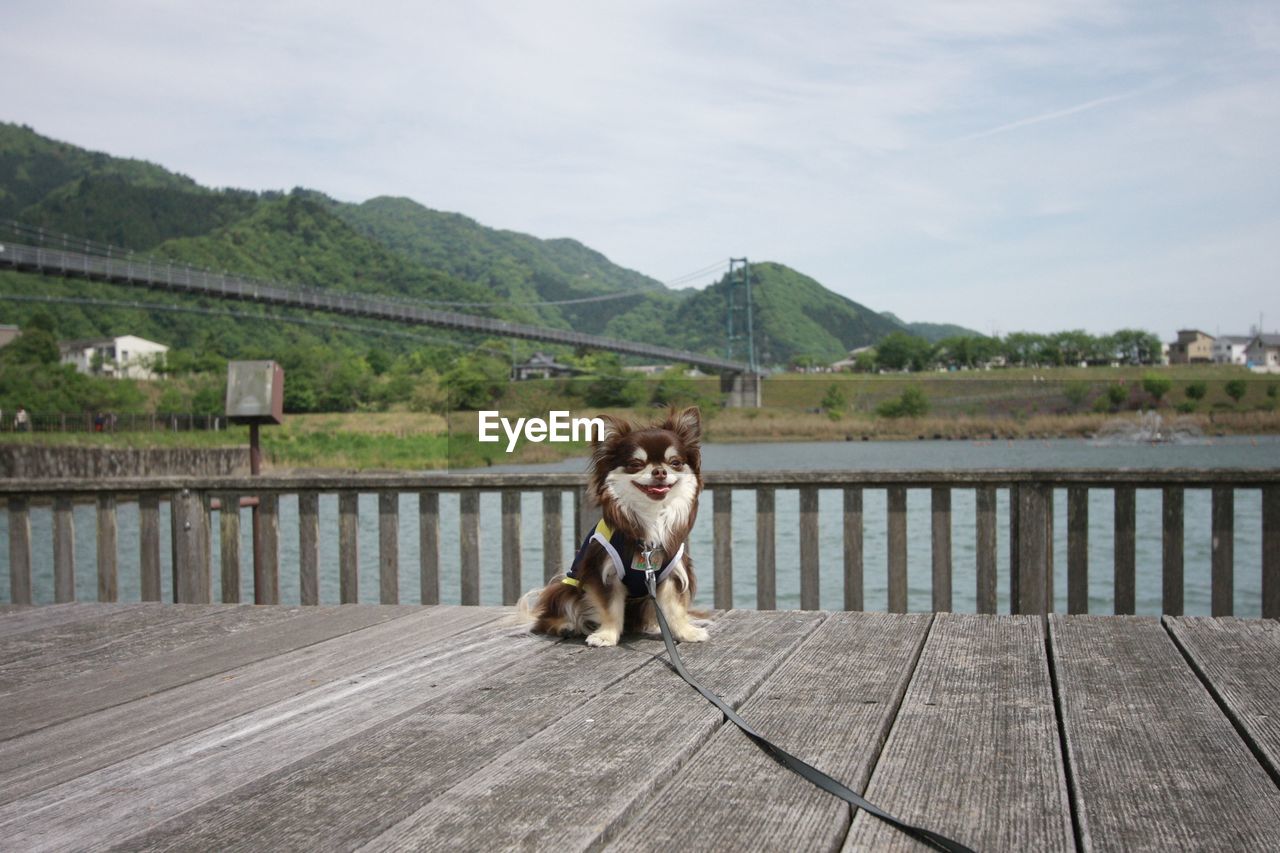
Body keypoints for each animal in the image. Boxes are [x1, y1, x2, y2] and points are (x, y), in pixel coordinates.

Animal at [519, 404, 711, 645]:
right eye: (635, 464)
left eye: (675, 462)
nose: (660, 471)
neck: (651, 514)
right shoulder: (602, 571)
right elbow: (610, 608)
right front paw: (606, 636)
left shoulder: (671, 574)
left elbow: (674, 608)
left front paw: (686, 632)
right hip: (565, 590)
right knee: (549, 618)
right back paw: (566, 626)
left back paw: (654, 626)